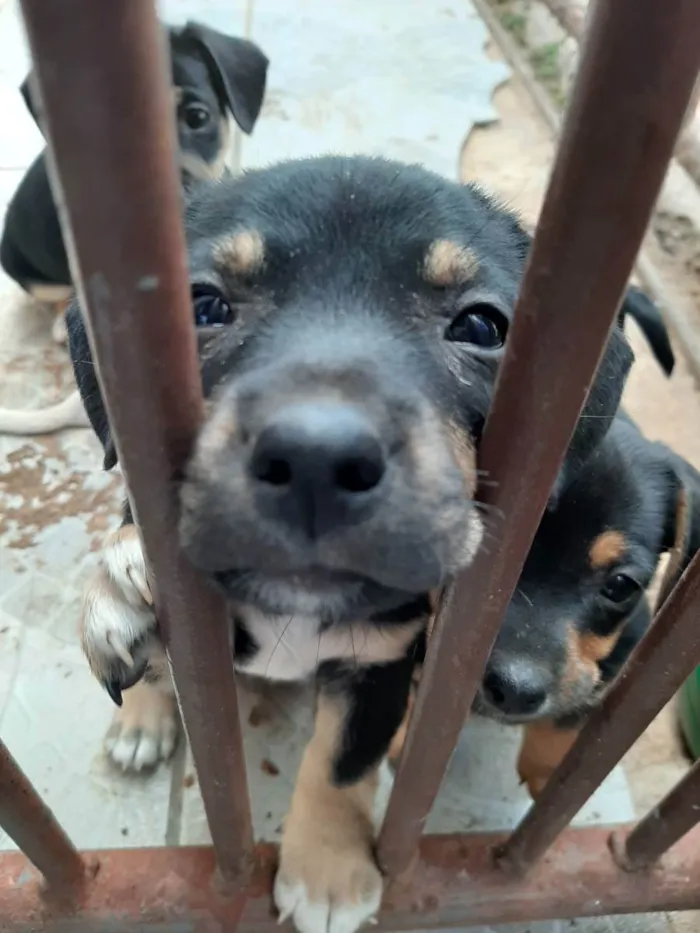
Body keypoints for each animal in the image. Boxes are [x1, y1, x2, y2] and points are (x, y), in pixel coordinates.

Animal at [69, 157, 636, 932]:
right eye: (204, 306)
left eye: (481, 325)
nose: (316, 460)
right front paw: (127, 584)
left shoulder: (381, 664)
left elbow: (339, 764)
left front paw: (328, 874)